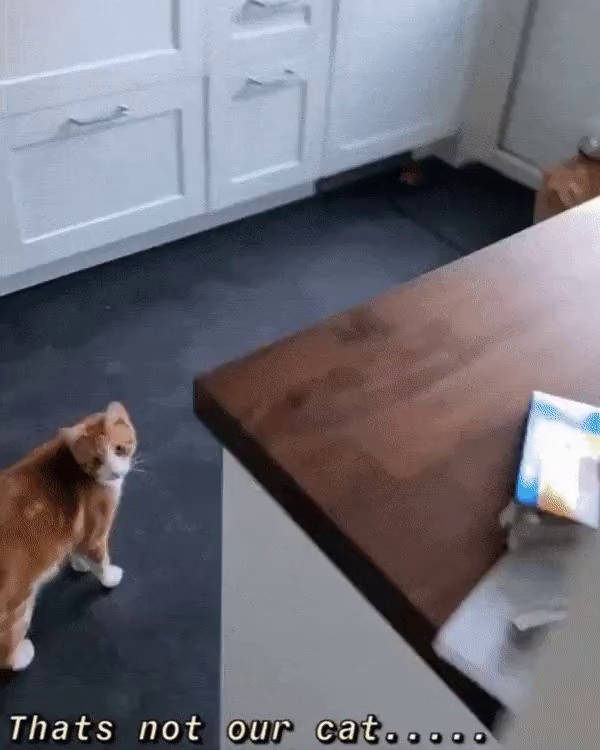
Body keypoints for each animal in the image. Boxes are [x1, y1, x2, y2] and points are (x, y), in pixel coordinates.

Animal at [0, 402, 136, 671]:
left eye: (119, 449)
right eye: (96, 461)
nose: (115, 473)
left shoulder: (76, 534)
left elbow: (76, 549)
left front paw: (78, 564)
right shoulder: (96, 531)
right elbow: (100, 560)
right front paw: (109, 577)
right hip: (16, 604)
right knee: (6, 650)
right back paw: (23, 655)